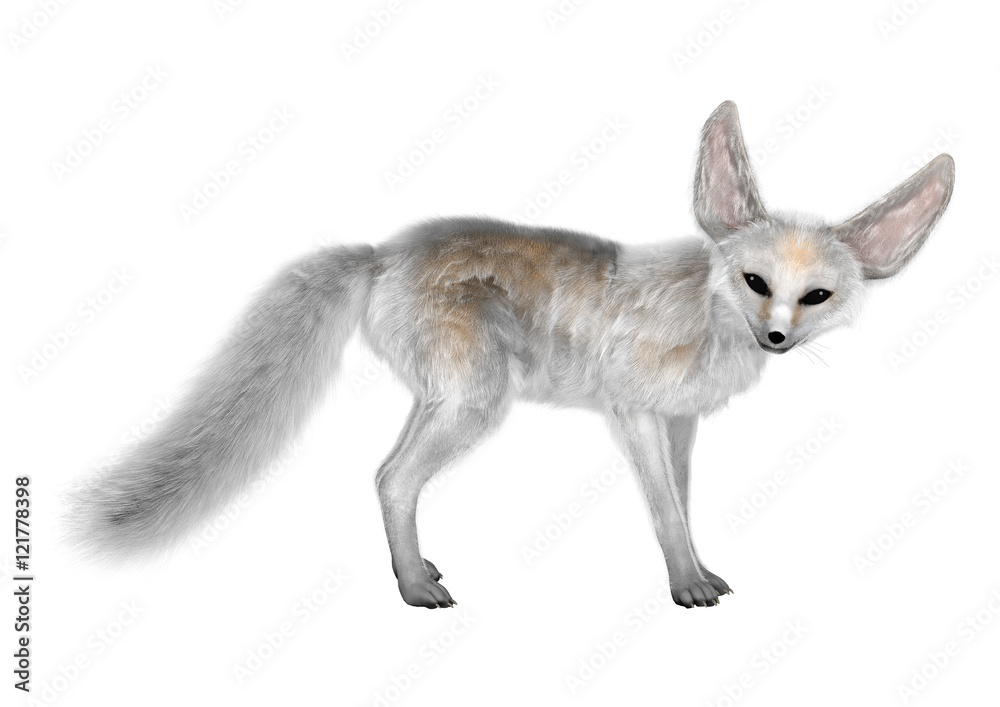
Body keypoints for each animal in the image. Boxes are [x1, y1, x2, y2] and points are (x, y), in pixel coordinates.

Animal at [65, 101, 954, 609]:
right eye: (755, 281)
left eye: (817, 296)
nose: (776, 335)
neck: (706, 318)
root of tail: (381, 253)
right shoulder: (633, 411)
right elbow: (664, 509)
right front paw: (684, 584)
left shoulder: (680, 423)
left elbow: (683, 500)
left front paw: (697, 565)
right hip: (476, 404)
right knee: (392, 477)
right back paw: (413, 587)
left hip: (442, 397)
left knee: (383, 473)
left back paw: (413, 570)